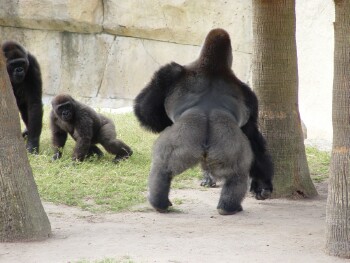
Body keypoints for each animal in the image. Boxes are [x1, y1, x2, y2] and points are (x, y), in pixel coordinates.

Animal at [134, 27, 274, 216]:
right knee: (234, 174)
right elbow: (253, 136)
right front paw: (263, 184)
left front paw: (262, 184)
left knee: (163, 165)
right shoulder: (249, 94)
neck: (212, 66)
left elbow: (147, 113)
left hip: (192, 145)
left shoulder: (169, 72)